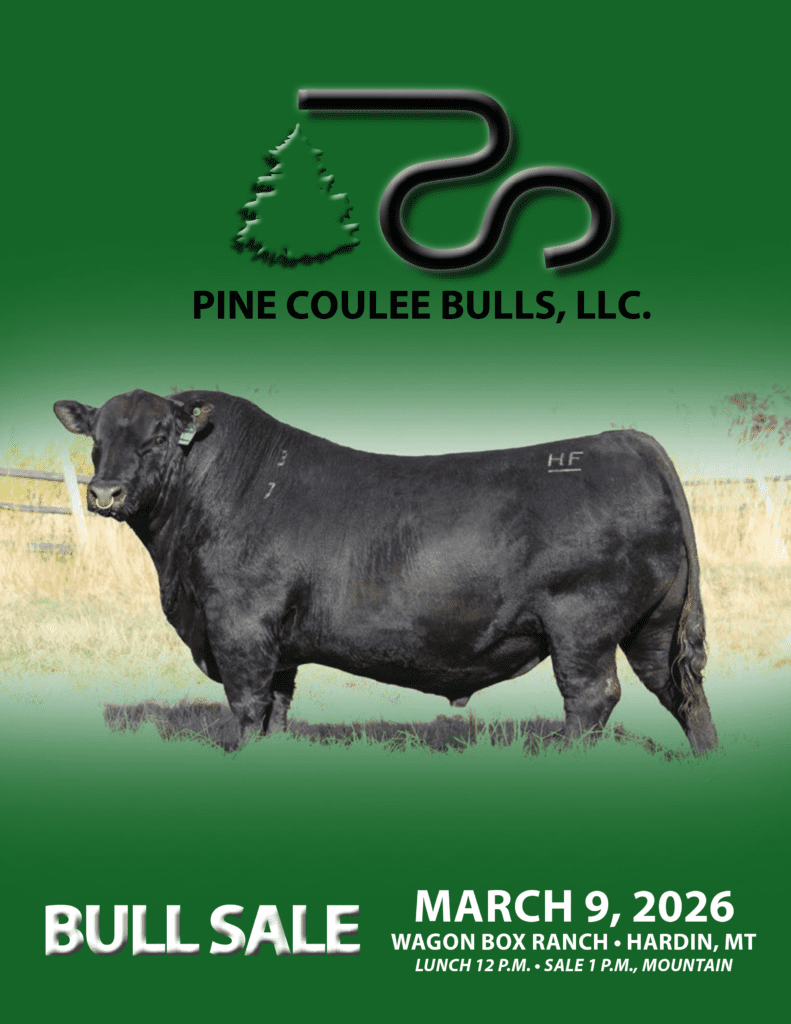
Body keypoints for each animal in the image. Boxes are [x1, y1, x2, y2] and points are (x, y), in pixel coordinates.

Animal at [54, 389, 717, 753]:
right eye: (97, 438)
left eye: (160, 436)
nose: (105, 493)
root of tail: (625, 440)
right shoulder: (279, 643)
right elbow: (275, 710)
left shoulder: (238, 624)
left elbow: (246, 706)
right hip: (653, 625)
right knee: (682, 691)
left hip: (584, 623)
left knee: (591, 698)